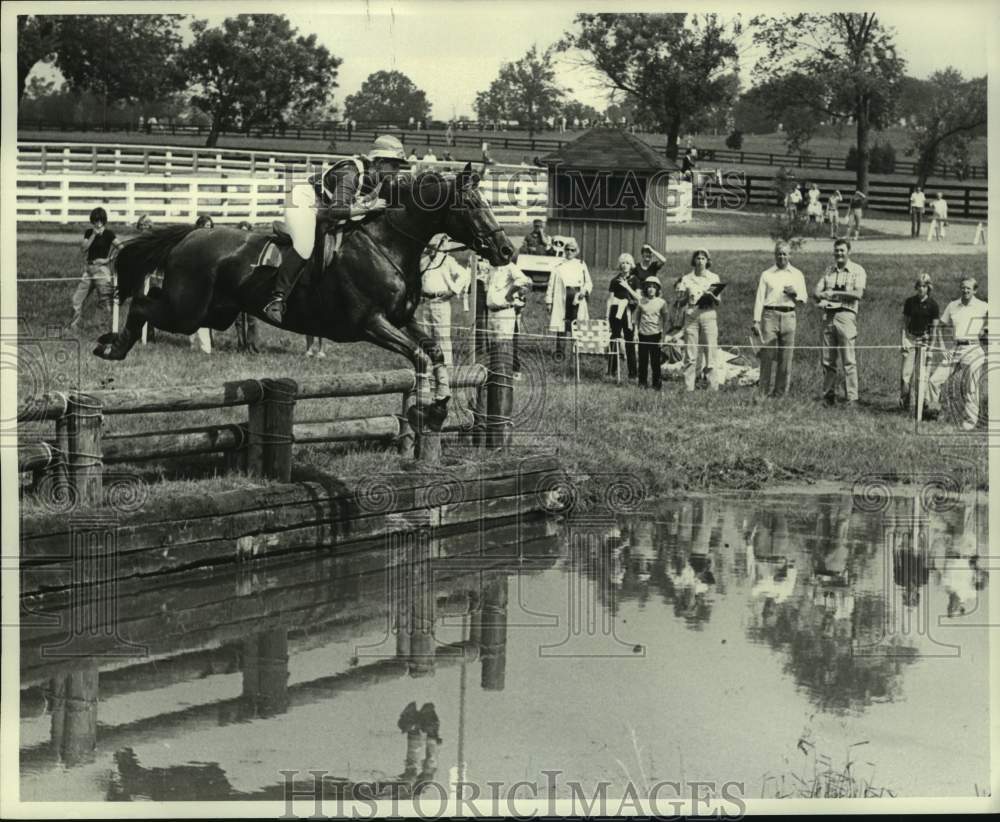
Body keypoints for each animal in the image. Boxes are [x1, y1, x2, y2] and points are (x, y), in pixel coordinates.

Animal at [101, 162, 516, 432]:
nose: (507, 251)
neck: (386, 244)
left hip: (212, 312)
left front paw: (440, 405)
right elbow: (417, 355)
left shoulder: (402, 318)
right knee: (142, 304)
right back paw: (111, 346)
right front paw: (426, 406)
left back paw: (112, 343)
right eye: (474, 205)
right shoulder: (370, 323)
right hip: (188, 309)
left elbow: (434, 351)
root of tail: (190, 234)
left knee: (150, 300)